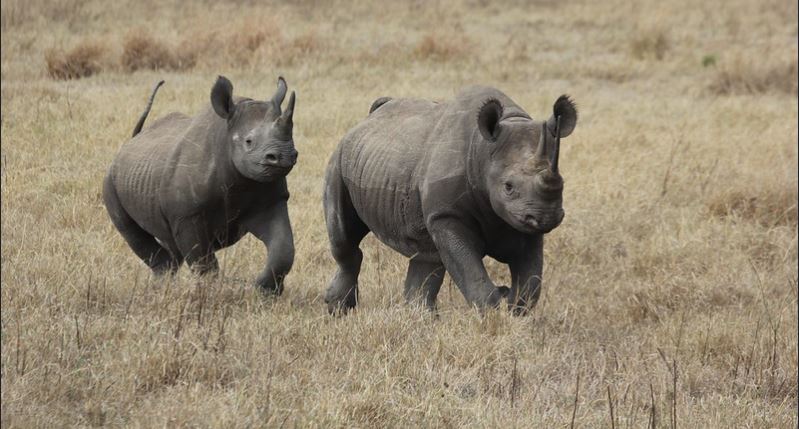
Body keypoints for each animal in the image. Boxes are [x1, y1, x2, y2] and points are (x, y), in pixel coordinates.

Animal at [103, 76, 298, 294]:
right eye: (248, 142)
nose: (285, 156)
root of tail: (130, 142)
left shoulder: (271, 200)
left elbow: (283, 248)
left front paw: (265, 291)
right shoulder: (187, 215)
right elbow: (203, 261)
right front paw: (210, 293)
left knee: (170, 243)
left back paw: (163, 287)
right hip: (110, 181)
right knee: (131, 231)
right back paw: (162, 286)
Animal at [323, 86, 577, 313]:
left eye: (563, 182)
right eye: (508, 186)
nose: (546, 217)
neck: (484, 151)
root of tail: (370, 116)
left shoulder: (520, 221)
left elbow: (529, 287)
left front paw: (513, 310)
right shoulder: (446, 215)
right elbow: (471, 273)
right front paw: (492, 317)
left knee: (426, 256)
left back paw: (420, 320)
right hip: (339, 159)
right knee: (344, 239)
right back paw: (338, 309)